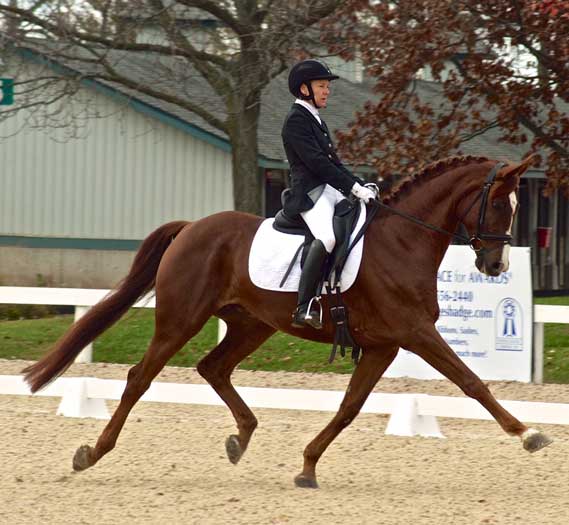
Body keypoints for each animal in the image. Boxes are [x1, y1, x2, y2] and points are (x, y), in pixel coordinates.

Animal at [23, 155, 552, 488]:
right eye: (499, 203)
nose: (495, 266)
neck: (403, 241)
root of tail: (192, 227)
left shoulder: (384, 345)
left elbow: (349, 408)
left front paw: (307, 467)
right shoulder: (415, 333)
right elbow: (472, 382)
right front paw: (529, 434)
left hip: (251, 324)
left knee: (213, 368)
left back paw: (241, 437)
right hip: (182, 320)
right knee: (140, 378)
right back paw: (92, 453)